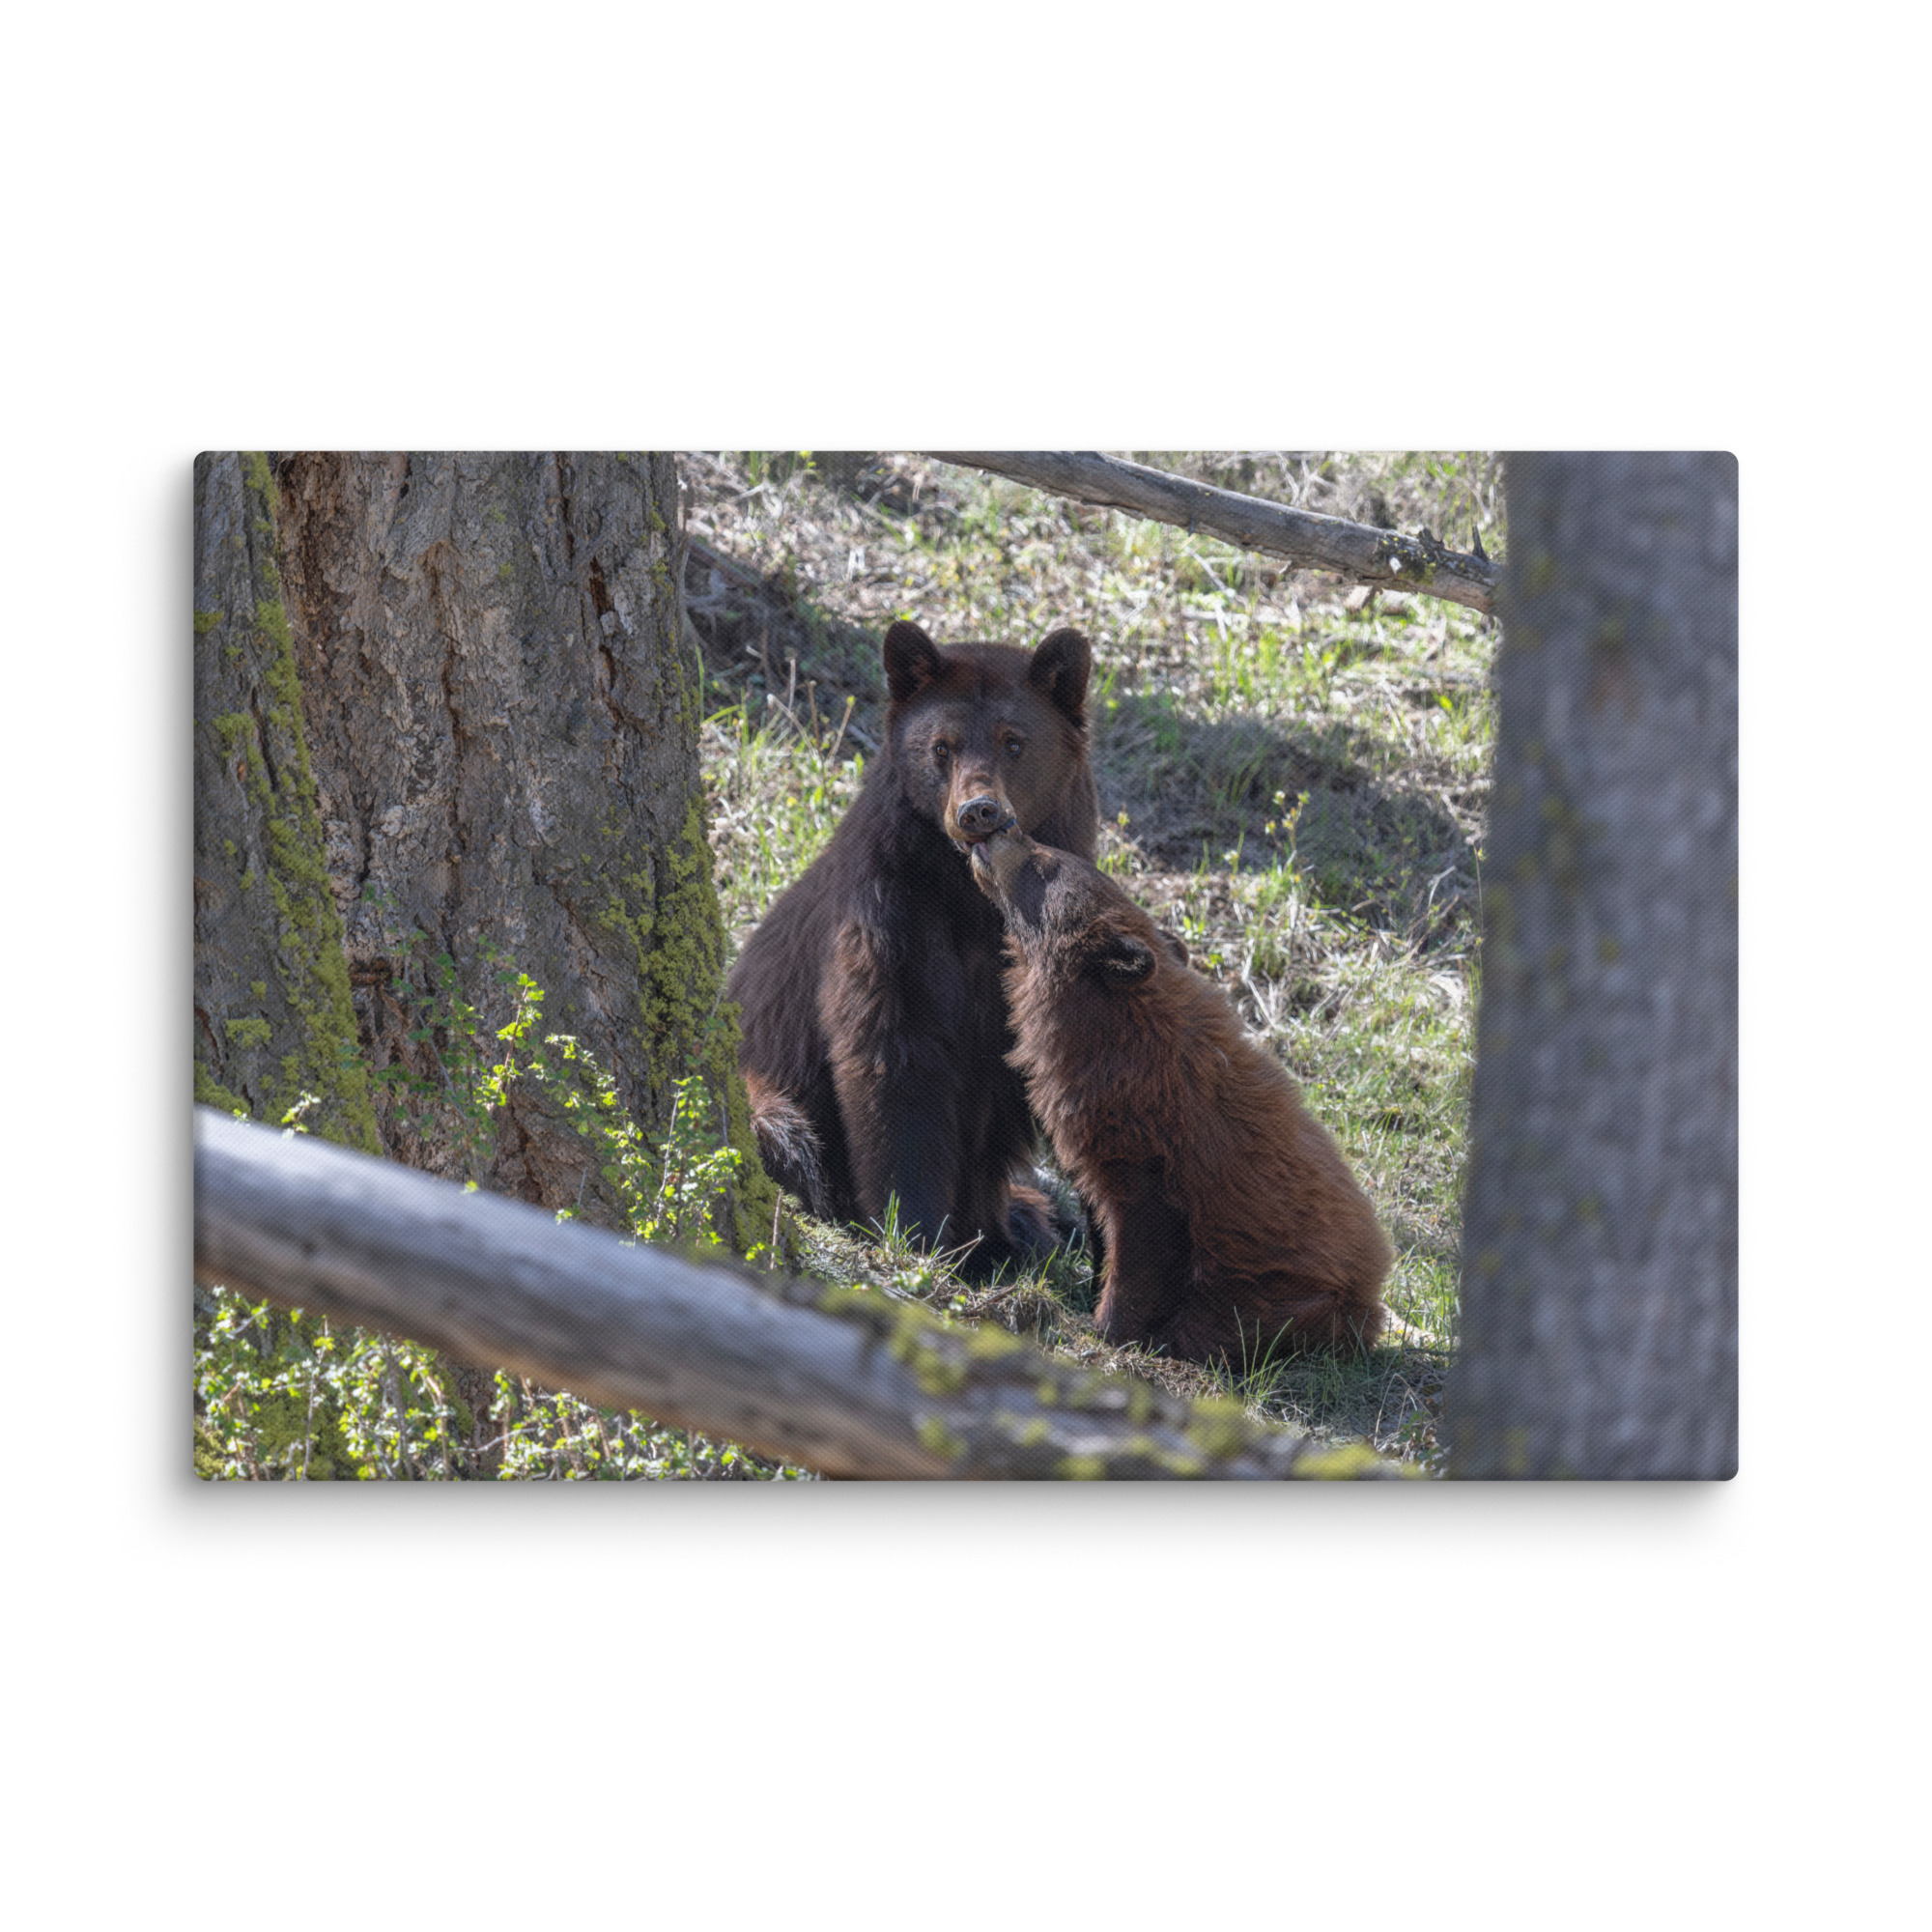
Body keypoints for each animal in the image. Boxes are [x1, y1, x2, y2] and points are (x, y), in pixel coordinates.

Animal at [726, 619, 1099, 1274]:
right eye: (942, 747)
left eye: (1014, 743)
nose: (979, 811)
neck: (972, 897)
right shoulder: (889, 915)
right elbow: (894, 1058)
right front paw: (917, 1231)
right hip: (763, 1091)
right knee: (786, 1133)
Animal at [967, 820, 1391, 1364]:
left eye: (1045, 863)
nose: (1006, 826)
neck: (1113, 1030)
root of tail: (1372, 1297)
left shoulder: (1150, 1145)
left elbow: (1143, 1239)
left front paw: (1108, 1326)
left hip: (1291, 1297)